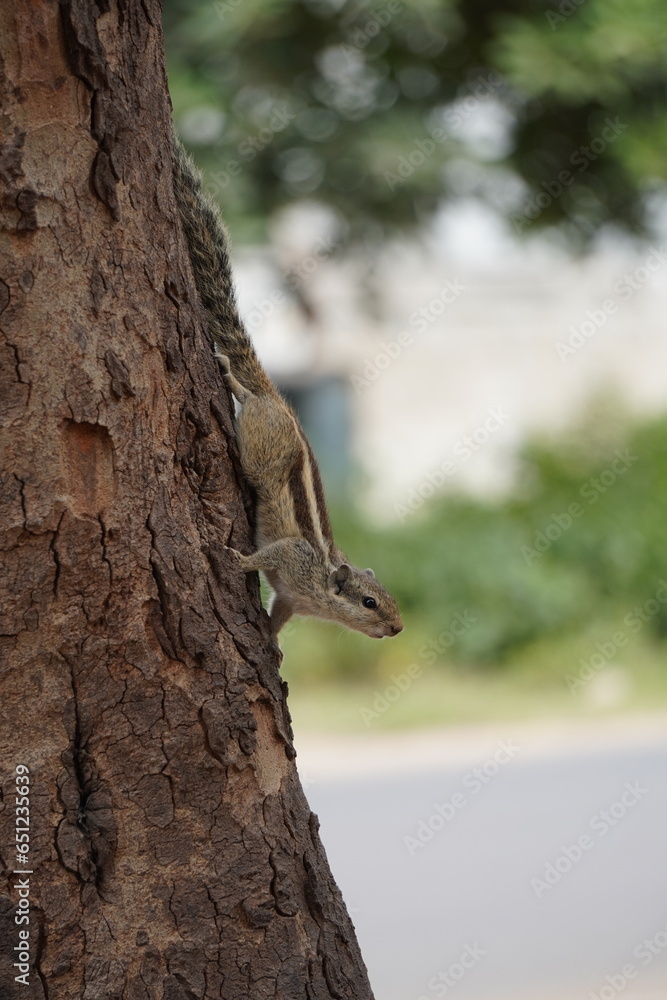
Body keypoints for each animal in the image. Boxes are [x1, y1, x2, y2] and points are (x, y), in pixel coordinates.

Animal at [171, 135, 403, 640]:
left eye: (390, 599)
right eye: (370, 602)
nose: (397, 628)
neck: (321, 589)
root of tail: (280, 401)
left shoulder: (291, 600)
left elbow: (277, 617)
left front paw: (273, 646)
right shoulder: (292, 557)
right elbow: (265, 555)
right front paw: (237, 560)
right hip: (260, 445)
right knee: (248, 400)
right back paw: (234, 381)